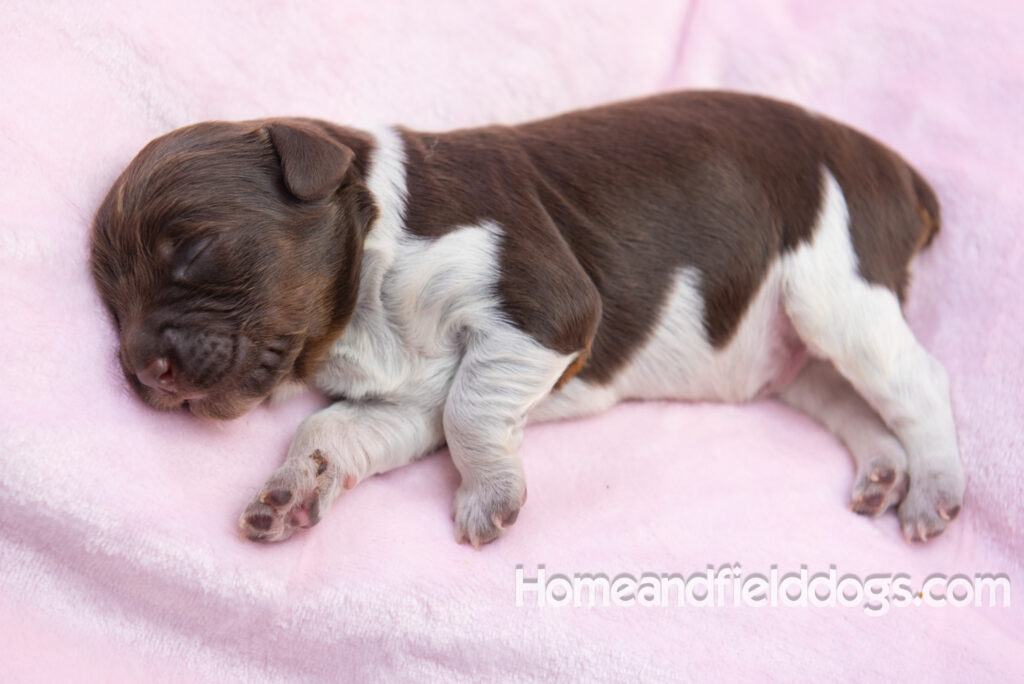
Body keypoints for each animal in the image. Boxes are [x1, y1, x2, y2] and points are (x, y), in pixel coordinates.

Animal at [92, 92, 962, 548]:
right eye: (110, 299)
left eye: (194, 248)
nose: (137, 369)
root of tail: (899, 169)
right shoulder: (406, 398)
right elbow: (333, 428)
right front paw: (289, 493)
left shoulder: (546, 310)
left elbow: (471, 411)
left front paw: (489, 498)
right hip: (795, 345)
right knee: (853, 399)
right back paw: (884, 473)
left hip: (835, 287)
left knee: (921, 380)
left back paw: (936, 490)